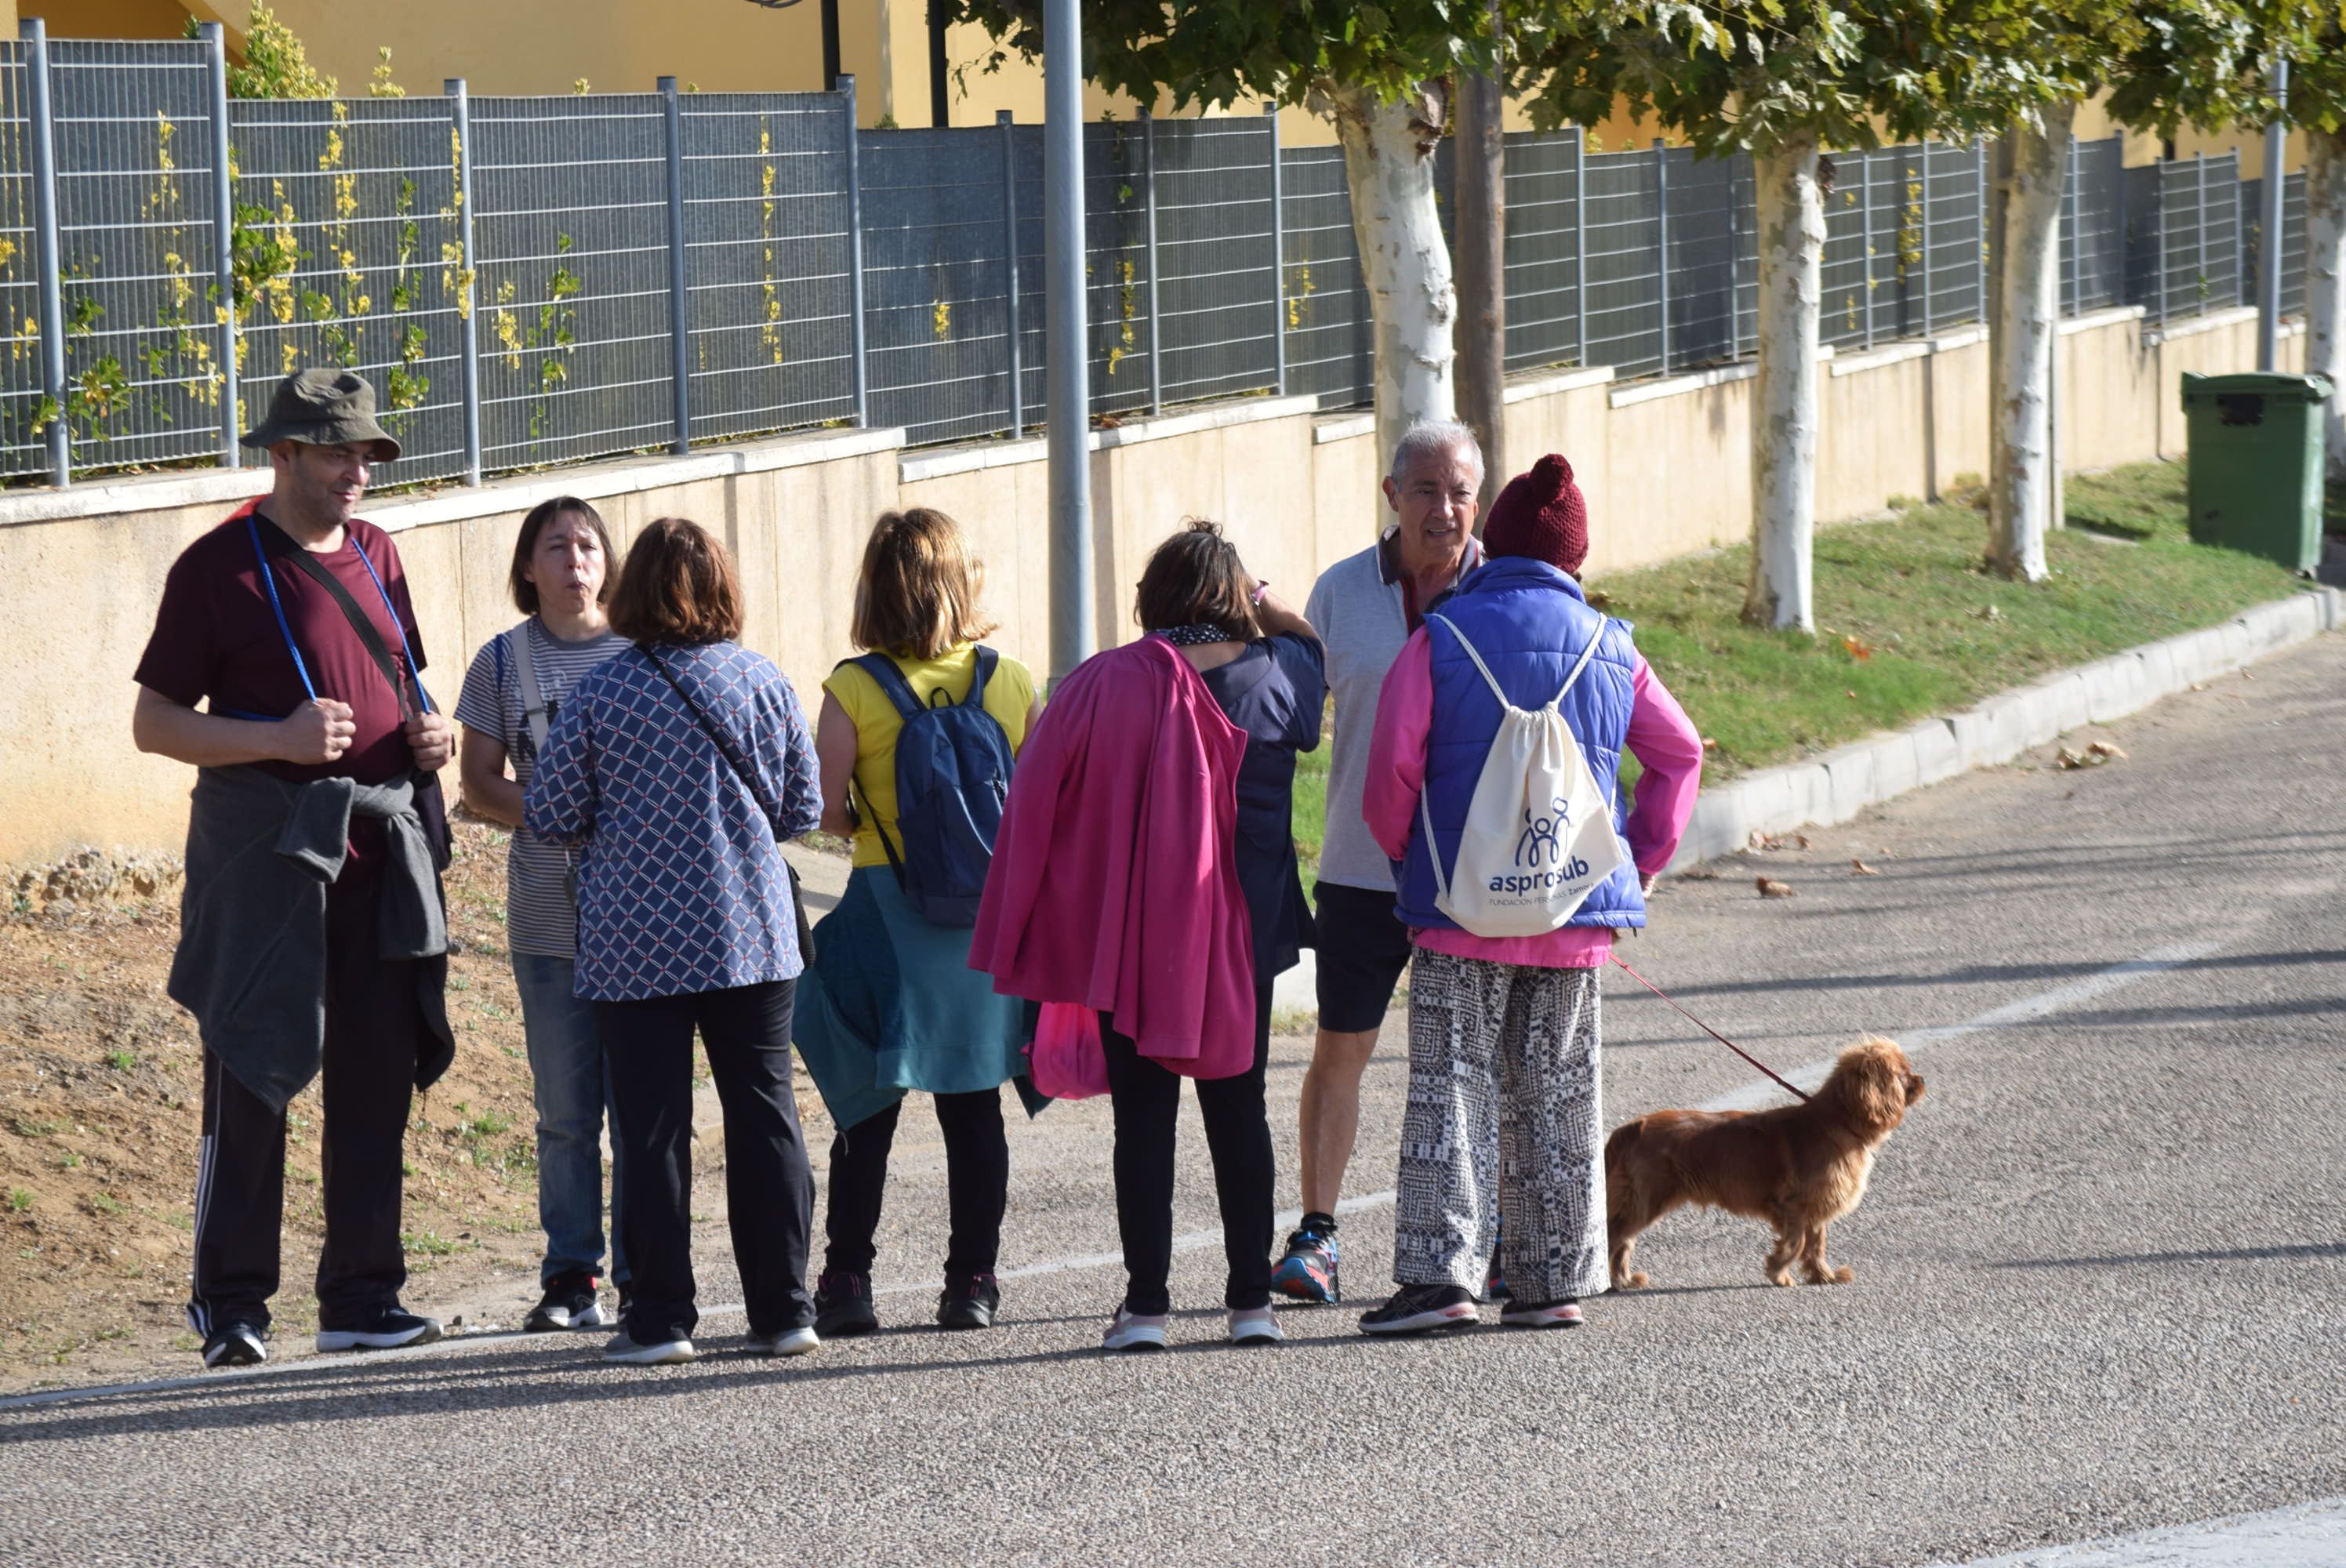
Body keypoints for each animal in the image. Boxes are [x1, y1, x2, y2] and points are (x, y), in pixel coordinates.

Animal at [1614, 1042, 1923, 1286]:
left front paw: (1825, 1276)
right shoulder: (1795, 1205)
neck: (1837, 1121)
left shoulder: (1815, 1205)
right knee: (1618, 1235)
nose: (1922, 1079)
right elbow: (1797, 1243)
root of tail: (1636, 1125)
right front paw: (1779, 1274)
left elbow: (1816, 1245)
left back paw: (1624, 1280)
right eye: (1903, 1074)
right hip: (1648, 1200)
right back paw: (1618, 1280)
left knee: (1623, 1240)